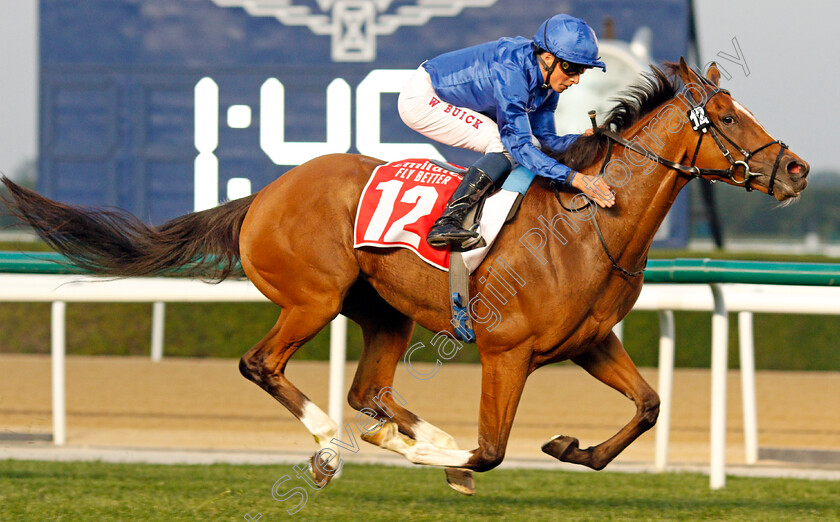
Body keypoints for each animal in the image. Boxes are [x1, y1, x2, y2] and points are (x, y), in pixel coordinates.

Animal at [0, 59, 808, 494]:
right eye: (726, 118)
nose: (798, 168)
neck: (589, 224)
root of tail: (264, 194)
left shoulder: (588, 342)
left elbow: (647, 406)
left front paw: (572, 450)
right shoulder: (507, 352)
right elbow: (491, 449)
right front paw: (445, 458)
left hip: (382, 311)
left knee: (370, 390)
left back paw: (396, 433)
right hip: (314, 297)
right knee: (265, 365)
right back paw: (335, 447)